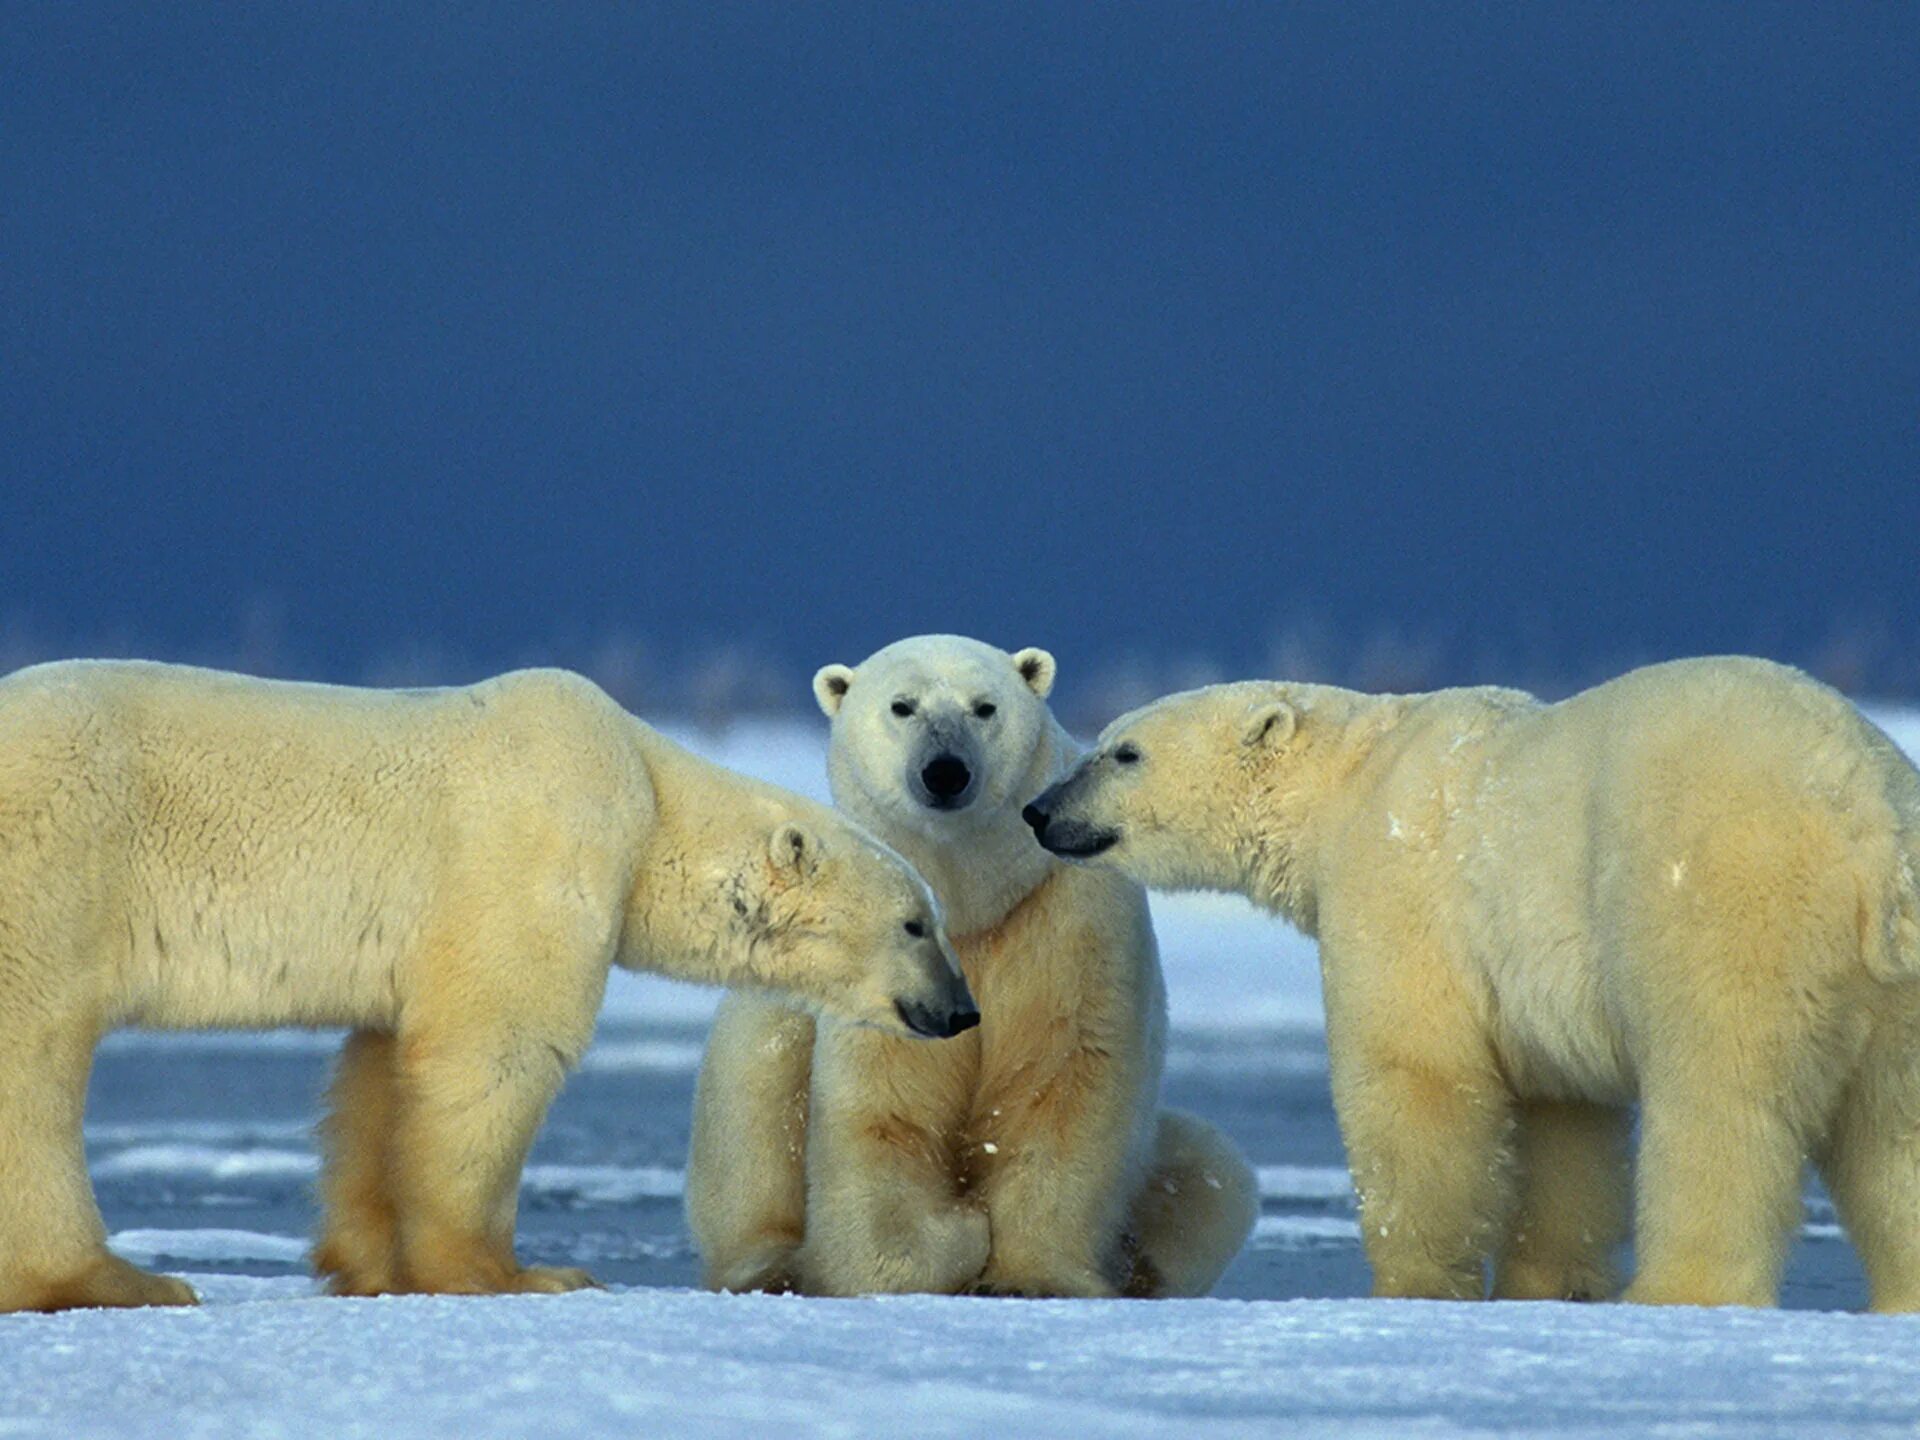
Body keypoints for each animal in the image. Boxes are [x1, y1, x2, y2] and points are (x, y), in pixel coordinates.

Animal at [0, 664, 967, 1320]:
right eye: (917, 923)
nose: (962, 1010)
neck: (648, 790)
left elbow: (381, 1070)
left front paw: (369, 1265)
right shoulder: (537, 845)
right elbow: (496, 1050)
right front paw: (518, 1274)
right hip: (60, 854)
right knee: (36, 1052)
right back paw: (115, 1279)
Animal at [687, 637, 1259, 1305]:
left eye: (984, 707)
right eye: (902, 706)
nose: (945, 771)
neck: (969, 899)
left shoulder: (1065, 922)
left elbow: (1062, 1087)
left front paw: (1027, 1278)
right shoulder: (878, 962)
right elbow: (884, 1111)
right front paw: (951, 1234)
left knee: (1213, 1173)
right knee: (752, 1094)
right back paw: (772, 1268)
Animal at [1029, 660, 1920, 1313]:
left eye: (1122, 751)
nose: (1040, 810)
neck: (1346, 783)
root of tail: (1868, 820)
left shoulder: (1395, 884)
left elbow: (1415, 1077)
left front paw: (1412, 1285)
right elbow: (1566, 1127)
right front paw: (1547, 1286)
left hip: (1726, 902)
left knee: (1719, 1102)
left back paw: (1679, 1291)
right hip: (1896, 977)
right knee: (1892, 1128)